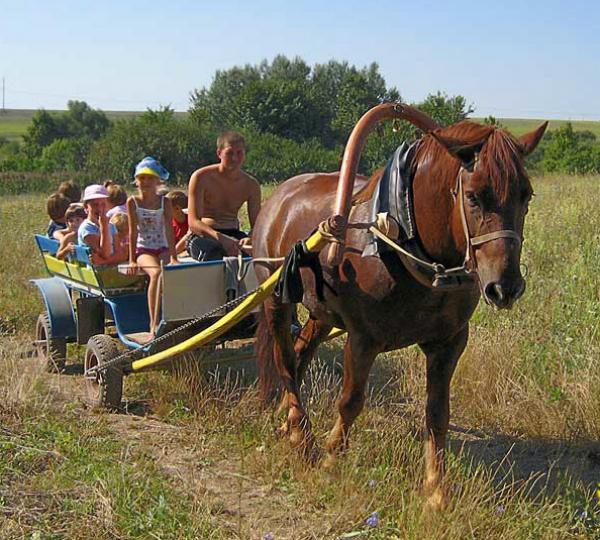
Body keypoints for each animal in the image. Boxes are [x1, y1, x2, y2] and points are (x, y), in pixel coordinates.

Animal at [251, 107, 548, 508]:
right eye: (473, 196)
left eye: (525, 194)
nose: (505, 287)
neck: (403, 234)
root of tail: (280, 195)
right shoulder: (363, 338)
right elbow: (351, 401)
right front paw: (331, 460)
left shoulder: (449, 343)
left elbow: (437, 413)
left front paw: (436, 489)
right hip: (276, 298)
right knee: (284, 360)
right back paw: (301, 432)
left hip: (320, 313)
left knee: (300, 355)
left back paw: (288, 420)